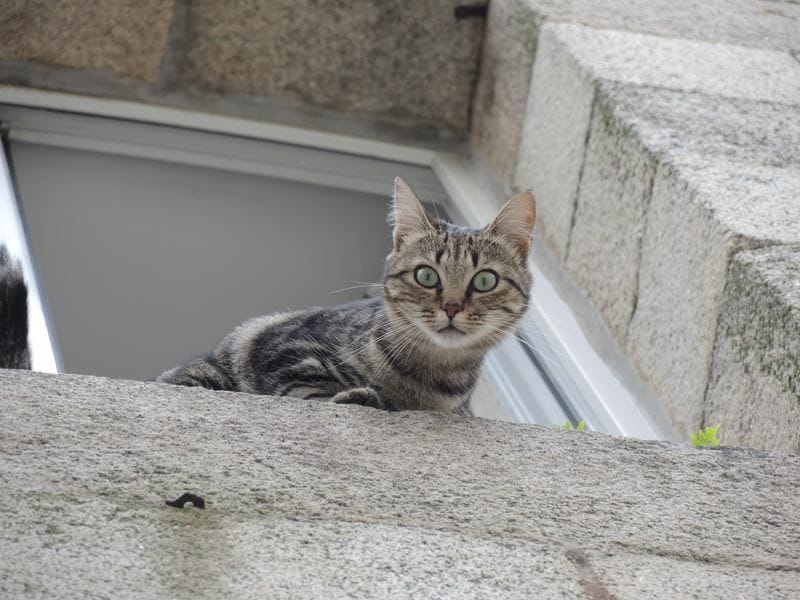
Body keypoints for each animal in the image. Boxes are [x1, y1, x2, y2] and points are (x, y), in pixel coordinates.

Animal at [157, 178, 536, 412]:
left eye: (484, 280)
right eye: (426, 275)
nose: (452, 306)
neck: (428, 379)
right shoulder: (288, 347)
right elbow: (312, 387)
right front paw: (357, 396)